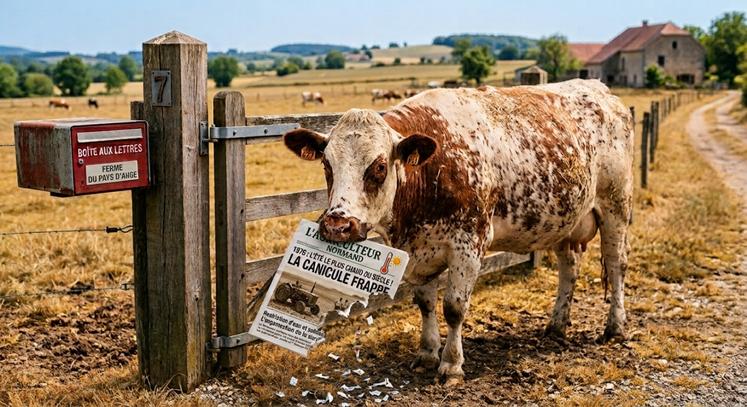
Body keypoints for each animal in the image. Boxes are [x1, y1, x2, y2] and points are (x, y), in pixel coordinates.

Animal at [283, 79, 633, 385]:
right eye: (327, 164)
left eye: (379, 167)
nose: (338, 224)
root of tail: (601, 90)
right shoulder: (417, 251)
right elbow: (425, 303)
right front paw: (427, 353)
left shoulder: (469, 244)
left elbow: (453, 307)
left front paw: (451, 365)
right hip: (565, 219)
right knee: (569, 268)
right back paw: (557, 324)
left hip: (616, 205)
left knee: (617, 264)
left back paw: (615, 326)